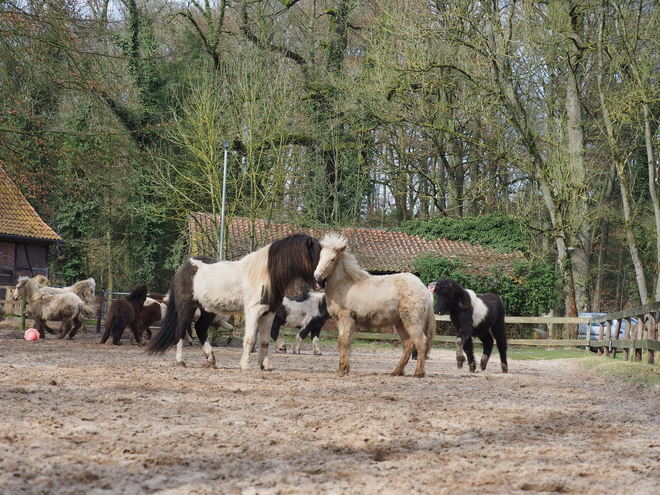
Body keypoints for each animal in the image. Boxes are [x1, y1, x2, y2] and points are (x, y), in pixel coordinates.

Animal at [146, 234, 320, 370]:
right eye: (314, 256)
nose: (320, 280)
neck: (266, 275)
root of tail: (184, 268)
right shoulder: (253, 311)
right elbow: (250, 338)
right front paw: (245, 365)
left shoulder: (268, 313)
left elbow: (264, 341)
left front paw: (265, 365)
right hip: (186, 307)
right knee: (181, 330)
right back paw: (180, 360)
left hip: (208, 310)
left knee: (200, 328)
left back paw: (211, 359)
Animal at [314, 234, 436, 378]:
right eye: (320, 255)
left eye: (333, 258)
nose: (317, 275)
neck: (344, 284)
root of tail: (424, 289)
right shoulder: (340, 320)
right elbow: (345, 342)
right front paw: (343, 368)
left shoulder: (346, 318)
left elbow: (342, 341)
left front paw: (343, 369)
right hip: (400, 322)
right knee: (408, 344)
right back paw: (396, 371)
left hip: (412, 321)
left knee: (421, 342)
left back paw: (418, 373)